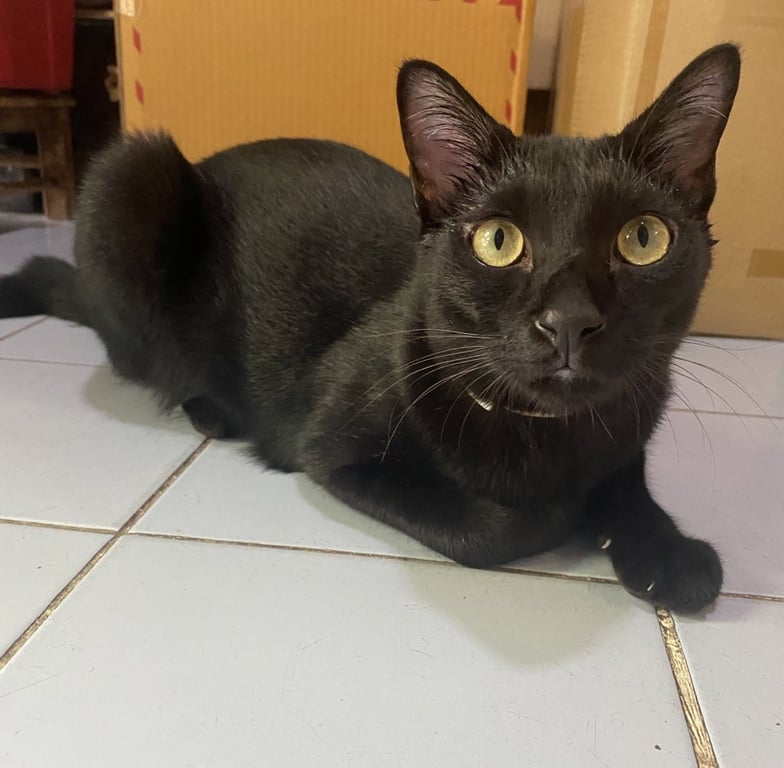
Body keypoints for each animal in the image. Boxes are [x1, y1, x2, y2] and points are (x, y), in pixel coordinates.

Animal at [0, 44, 741, 614]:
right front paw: (564, 515)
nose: (569, 321)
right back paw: (211, 408)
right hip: (130, 176)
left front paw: (665, 551)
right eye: (498, 241)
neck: (544, 432)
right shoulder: (330, 448)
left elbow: (625, 476)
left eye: (643, 239)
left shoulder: (630, 418)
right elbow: (495, 528)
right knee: (146, 359)